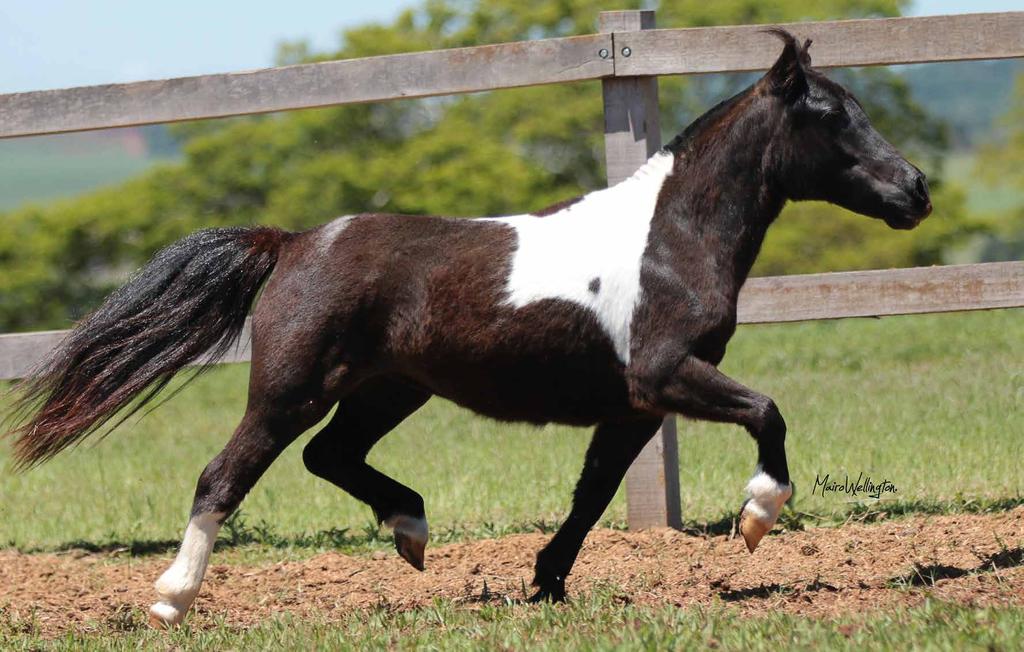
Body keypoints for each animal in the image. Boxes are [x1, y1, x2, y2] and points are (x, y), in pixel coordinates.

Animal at [4, 29, 929, 626]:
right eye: (831, 116)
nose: (916, 189)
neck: (669, 241)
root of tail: (296, 241)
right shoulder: (663, 374)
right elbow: (768, 411)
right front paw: (755, 518)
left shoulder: (633, 406)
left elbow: (594, 493)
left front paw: (546, 585)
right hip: (290, 388)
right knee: (223, 475)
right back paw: (172, 599)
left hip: (388, 390)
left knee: (329, 456)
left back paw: (412, 532)